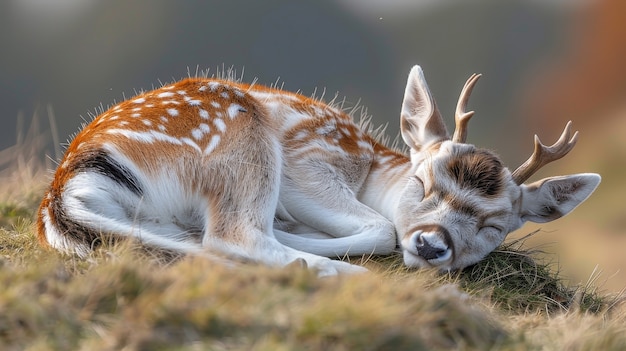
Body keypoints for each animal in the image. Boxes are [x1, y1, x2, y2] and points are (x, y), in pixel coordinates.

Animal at [35, 64, 600, 276]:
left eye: (494, 225)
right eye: (422, 181)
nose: (431, 244)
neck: (370, 168)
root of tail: (66, 187)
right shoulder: (308, 162)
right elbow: (381, 227)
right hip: (246, 136)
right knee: (233, 237)